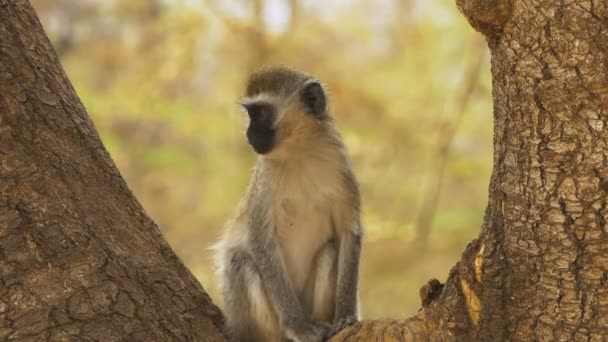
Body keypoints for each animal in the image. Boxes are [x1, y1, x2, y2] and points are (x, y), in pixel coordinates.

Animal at [215, 67, 360, 342]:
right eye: (250, 113)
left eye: (260, 112)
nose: (248, 133)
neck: (299, 151)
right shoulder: (264, 182)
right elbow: (261, 243)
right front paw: (299, 328)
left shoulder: (340, 167)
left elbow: (349, 232)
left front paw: (346, 315)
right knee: (240, 260)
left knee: (329, 250)